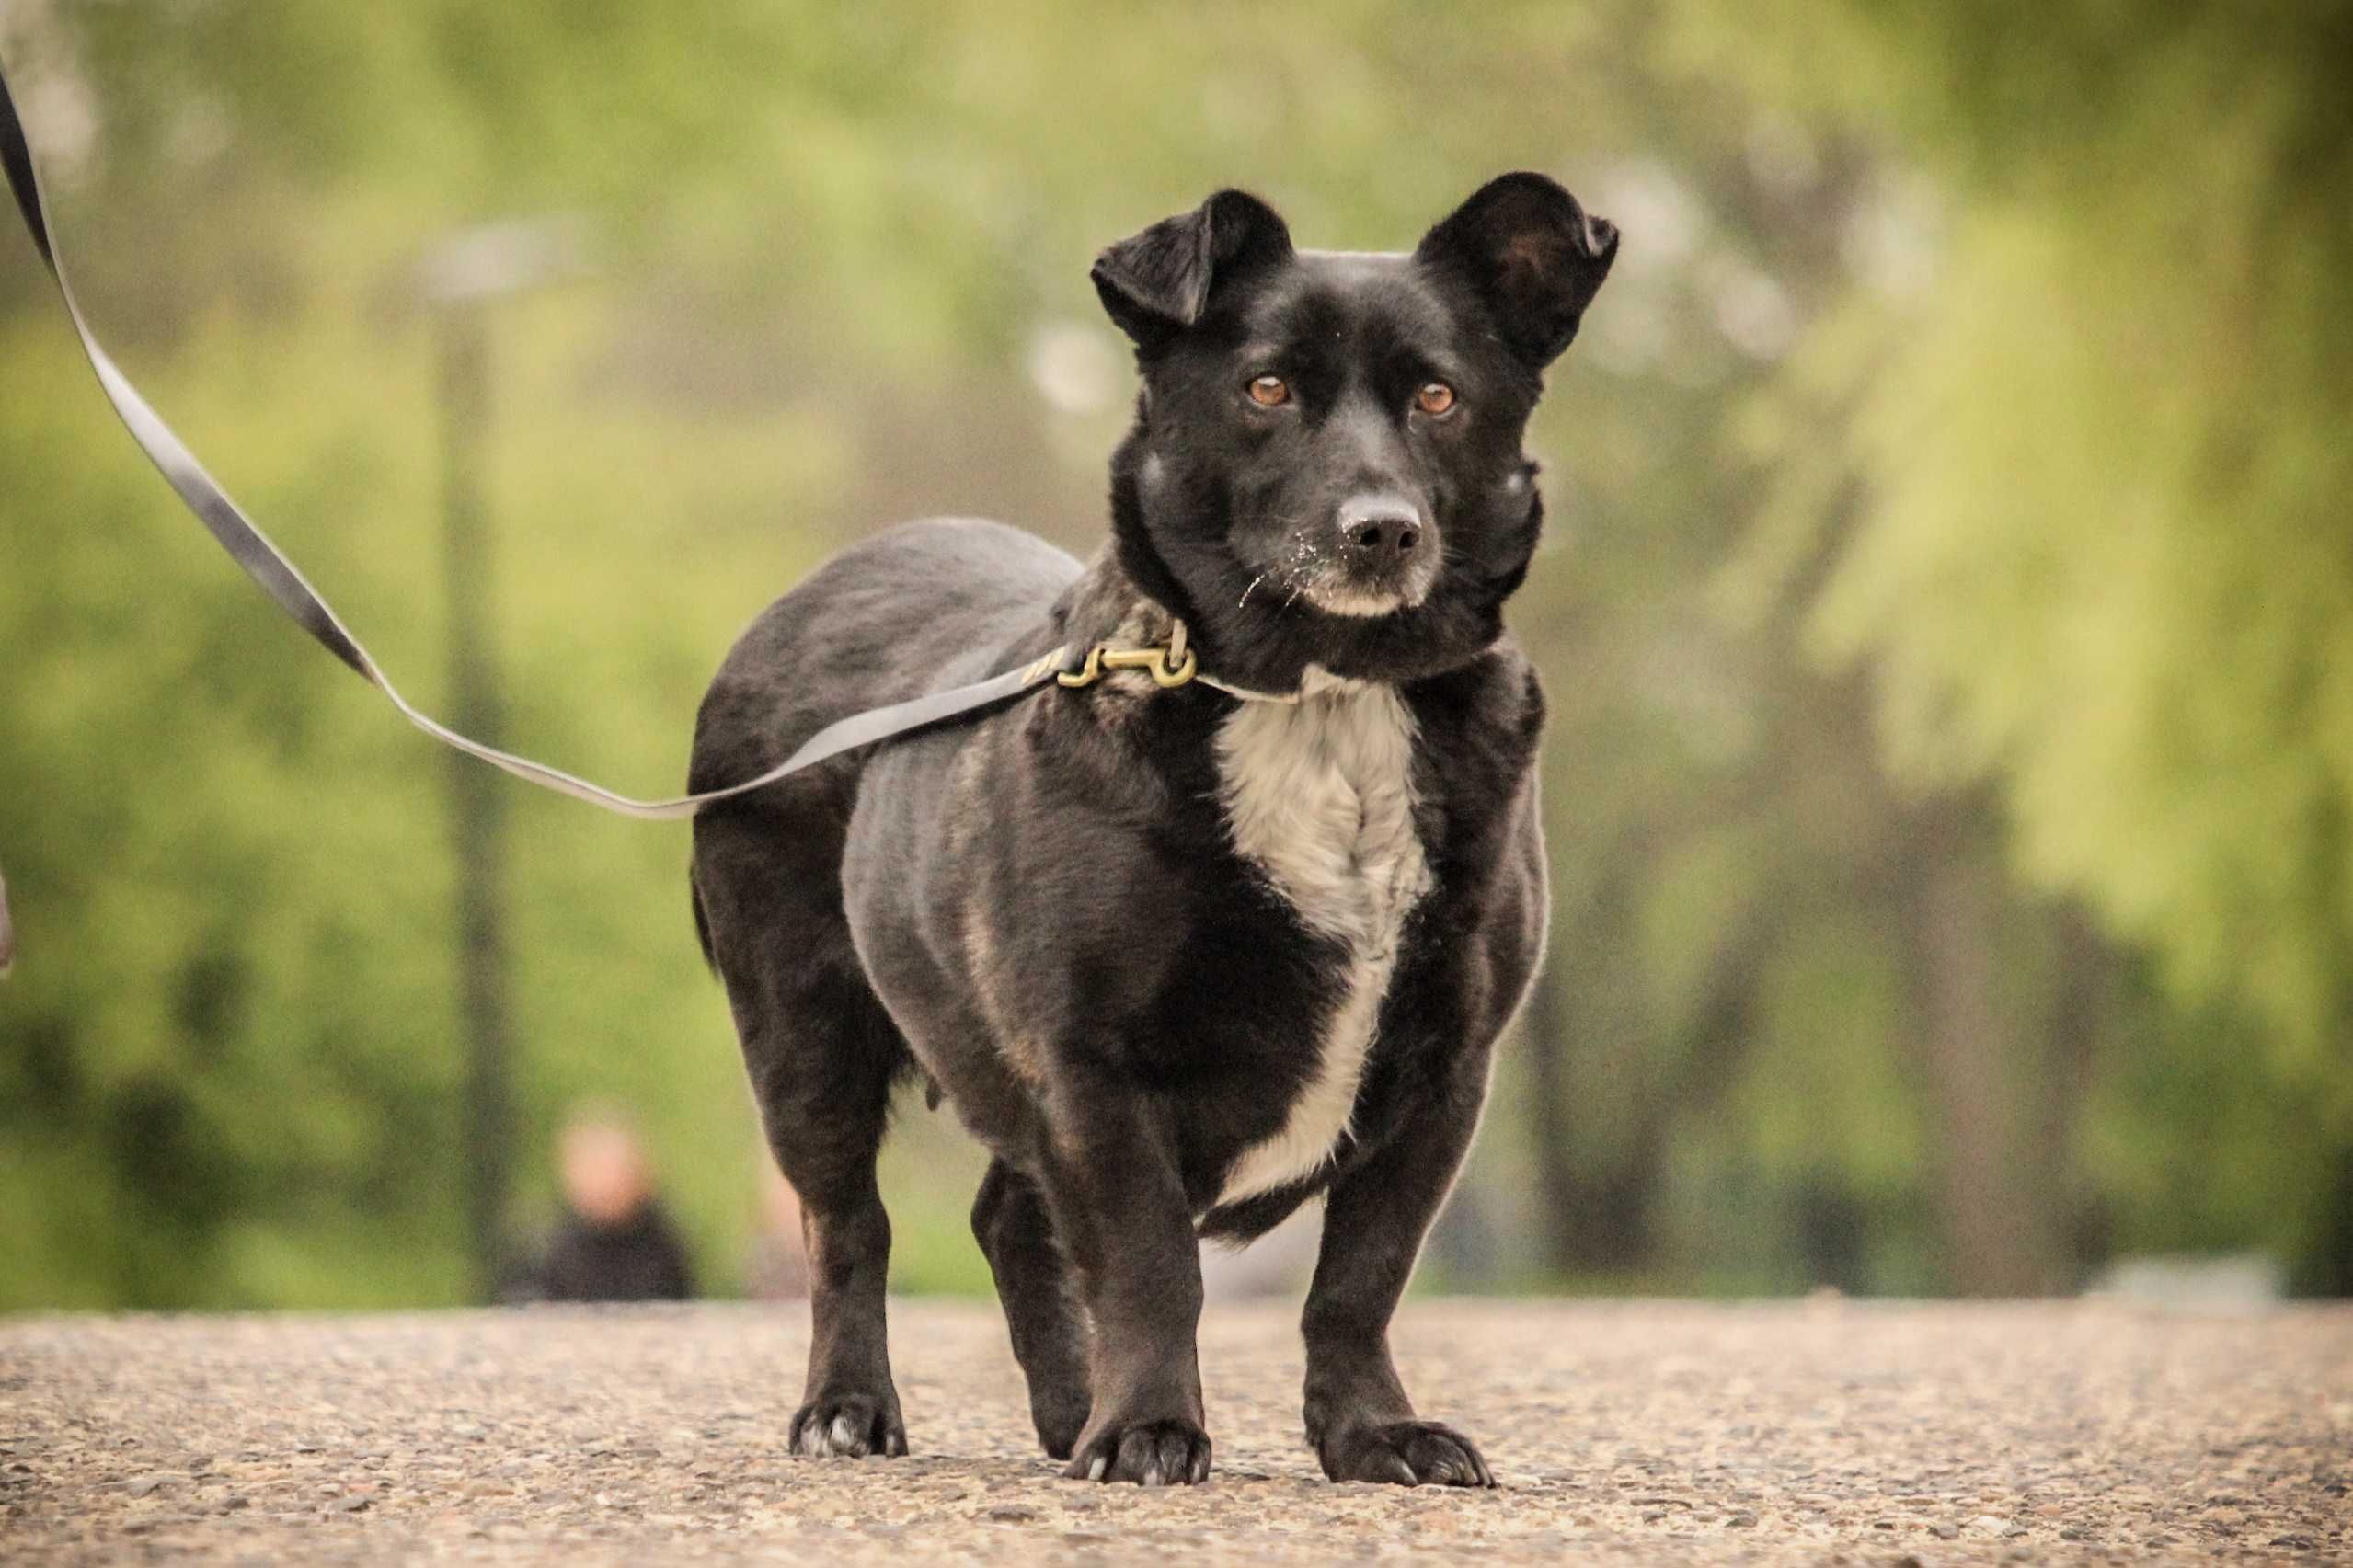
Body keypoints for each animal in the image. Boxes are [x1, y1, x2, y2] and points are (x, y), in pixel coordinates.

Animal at [692, 177, 1618, 1494]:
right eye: (1265, 389)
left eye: (1438, 397)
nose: (1381, 531)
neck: (1322, 696)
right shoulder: (1098, 1057)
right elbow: (1147, 1262)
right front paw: (1145, 1427)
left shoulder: (1446, 1069)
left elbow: (1360, 1279)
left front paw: (1371, 1434)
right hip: (799, 1030)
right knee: (847, 1227)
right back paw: (850, 1407)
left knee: (1006, 1219)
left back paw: (1061, 1411)